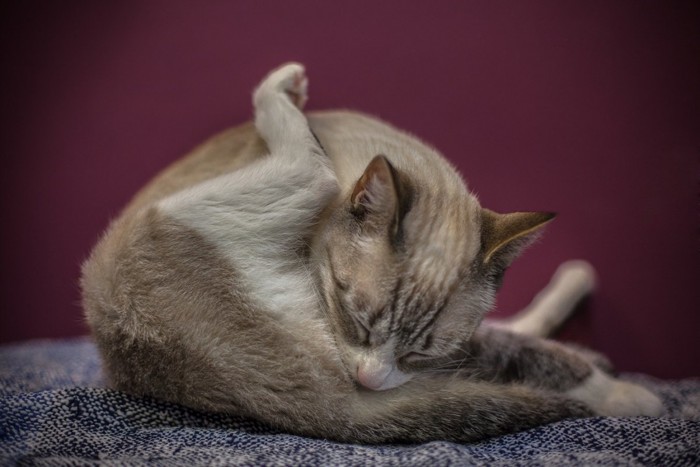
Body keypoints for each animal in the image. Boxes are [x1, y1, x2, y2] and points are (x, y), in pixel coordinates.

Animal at [82, 62, 660, 442]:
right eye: (356, 318)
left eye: (418, 351)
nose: (369, 380)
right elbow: (531, 357)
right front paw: (634, 396)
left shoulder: (435, 358)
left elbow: (515, 347)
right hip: (196, 210)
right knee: (308, 164)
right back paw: (285, 85)